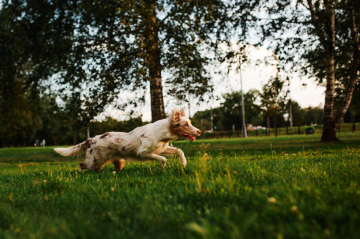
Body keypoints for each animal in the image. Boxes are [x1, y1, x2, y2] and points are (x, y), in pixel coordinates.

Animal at [53, 108, 201, 172]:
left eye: (190, 123)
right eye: (186, 124)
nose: (199, 131)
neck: (162, 134)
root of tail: (91, 139)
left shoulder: (161, 148)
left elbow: (179, 151)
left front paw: (184, 163)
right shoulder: (144, 153)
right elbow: (163, 159)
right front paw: (163, 167)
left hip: (117, 161)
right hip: (95, 161)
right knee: (81, 165)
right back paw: (82, 173)